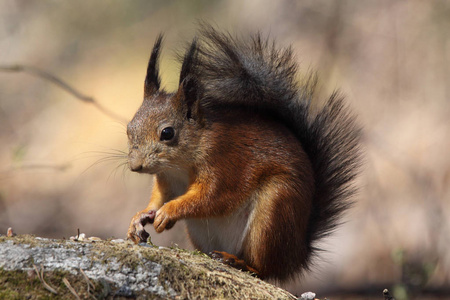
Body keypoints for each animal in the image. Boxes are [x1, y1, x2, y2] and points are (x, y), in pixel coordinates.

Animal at [125, 25, 360, 282]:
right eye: (129, 128)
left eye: (167, 133)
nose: (135, 166)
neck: (179, 166)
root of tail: (297, 255)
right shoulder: (167, 181)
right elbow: (159, 199)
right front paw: (140, 217)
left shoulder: (223, 163)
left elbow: (211, 197)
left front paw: (169, 211)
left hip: (274, 212)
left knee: (263, 268)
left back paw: (237, 262)